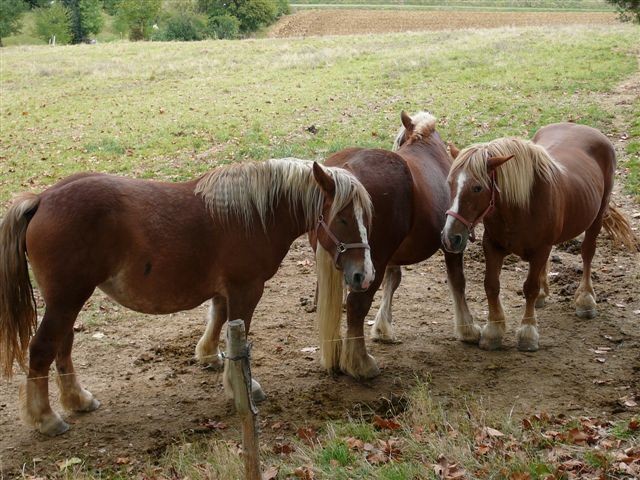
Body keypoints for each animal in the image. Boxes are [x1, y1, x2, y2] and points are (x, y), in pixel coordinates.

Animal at [0, 159, 372, 436]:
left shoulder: (227, 290)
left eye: (366, 217)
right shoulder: (246, 288)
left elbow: (218, 319)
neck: (254, 216)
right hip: (66, 299)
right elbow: (237, 335)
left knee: (62, 347)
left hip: (69, 300)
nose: (363, 276)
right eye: (342, 218)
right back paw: (46, 418)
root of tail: (41, 199)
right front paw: (242, 387)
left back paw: (77, 400)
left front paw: (209, 356)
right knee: (43, 349)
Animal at [316, 111, 480, 378]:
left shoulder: (392, 256)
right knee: (356, 305)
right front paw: (468, 329)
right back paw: (360, 362)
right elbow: (458, 281)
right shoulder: (452, 242)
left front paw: (383, 328)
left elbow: (393, 281)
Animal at [442, 122, 636, 350]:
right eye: (449, 183)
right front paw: (494, 331)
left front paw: (527, 333)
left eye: (477, 187)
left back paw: (586, 299)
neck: (519, 208)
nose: (450, 237)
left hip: (597, 216)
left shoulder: (541, 249)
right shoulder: (492, 246)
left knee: (587, 253)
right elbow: (491, 285)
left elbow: (530, 288)